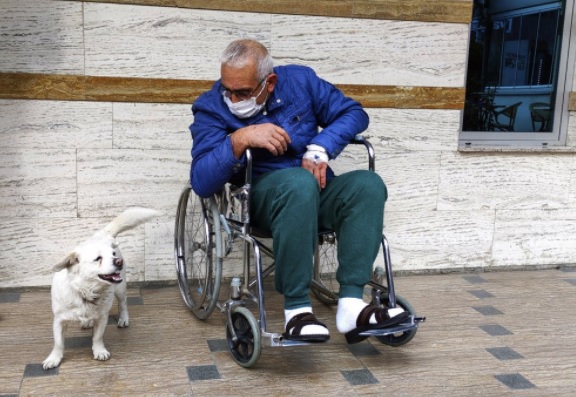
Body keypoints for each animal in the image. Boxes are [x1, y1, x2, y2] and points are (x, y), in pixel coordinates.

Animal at [42, 207, 160, 368]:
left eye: (113, 254)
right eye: (98, 258)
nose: (119, 261)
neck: (85, 291)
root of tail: (101, 234)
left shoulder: (102, 317)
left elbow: (97, 337)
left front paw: (99, 351)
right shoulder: (59, 320)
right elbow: (58, 343)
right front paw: (54, 358)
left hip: (120, 288)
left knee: (123, 303)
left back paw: (123, 318)